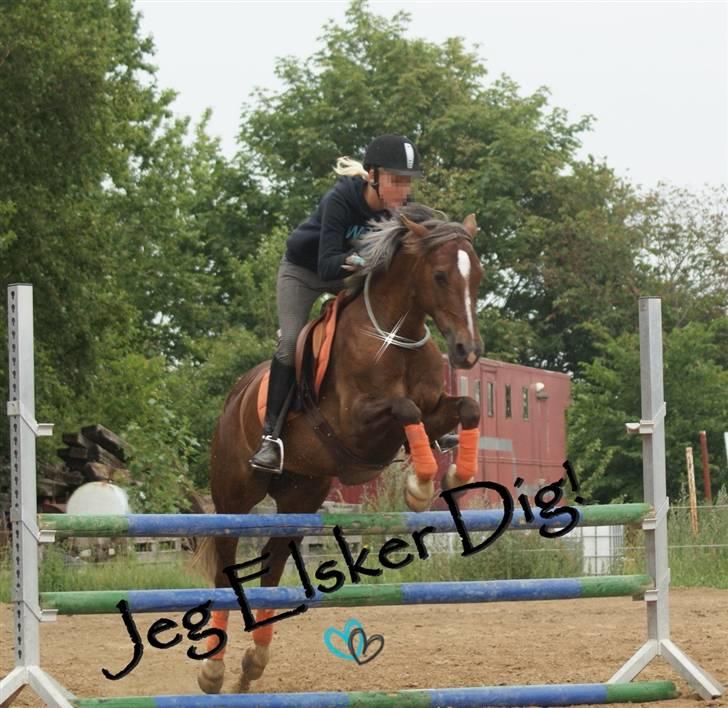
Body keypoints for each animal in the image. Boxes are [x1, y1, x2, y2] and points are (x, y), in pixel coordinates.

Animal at [193, 202, 486, 696]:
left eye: (478, 276)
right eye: (441, 275)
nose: (468, 351)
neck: (393, 335)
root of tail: (235, 396)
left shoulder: (433, 411)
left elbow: (468, 407)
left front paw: (451, 474)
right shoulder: (357, 426)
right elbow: (404, 408)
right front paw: (420, 487)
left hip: (300, 498)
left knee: (273, 567)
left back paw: (253, 664)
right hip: (234, 495)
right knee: (226, 564)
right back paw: (213, 671)